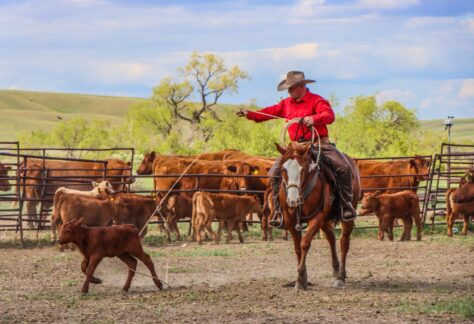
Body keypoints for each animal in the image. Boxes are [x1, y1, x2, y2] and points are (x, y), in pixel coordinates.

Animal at [274, 143, 360, 290]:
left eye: (302, 169)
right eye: (283, 169)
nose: (292, 200)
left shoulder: (317, 218)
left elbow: (305, 244)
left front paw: (300, 279)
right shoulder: (290, 220)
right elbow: (297, 248)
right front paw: (303, 279)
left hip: (347, 215)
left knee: (344, 242)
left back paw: (340, 277)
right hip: (325, 221)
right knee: (331, 237)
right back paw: (335, 270)